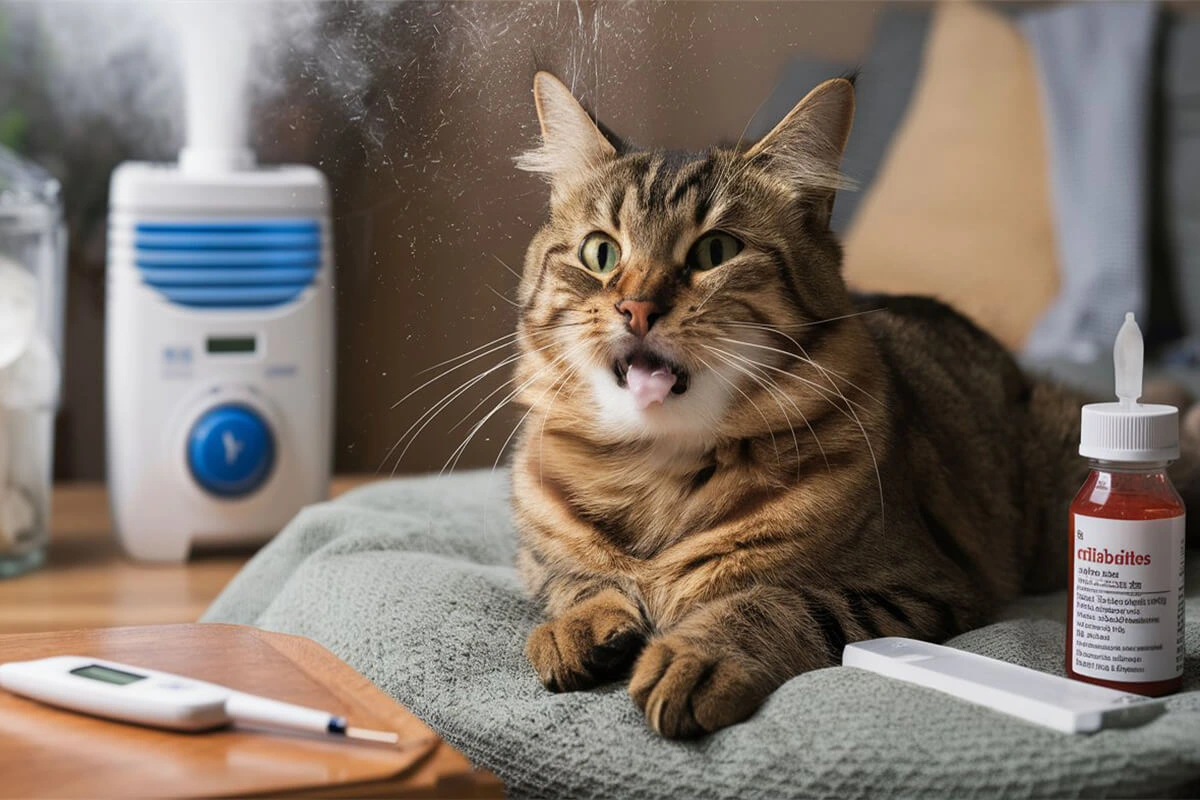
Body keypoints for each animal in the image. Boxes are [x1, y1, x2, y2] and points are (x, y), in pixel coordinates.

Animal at [506, 73, 1180, 738]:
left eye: (715, 252)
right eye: (600, 253)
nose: (637, 308)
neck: (657, 469)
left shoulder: (919, 586)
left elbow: (778, 602)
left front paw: (696, 656)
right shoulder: (537, 560)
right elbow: (574, 582)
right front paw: (579, 628)